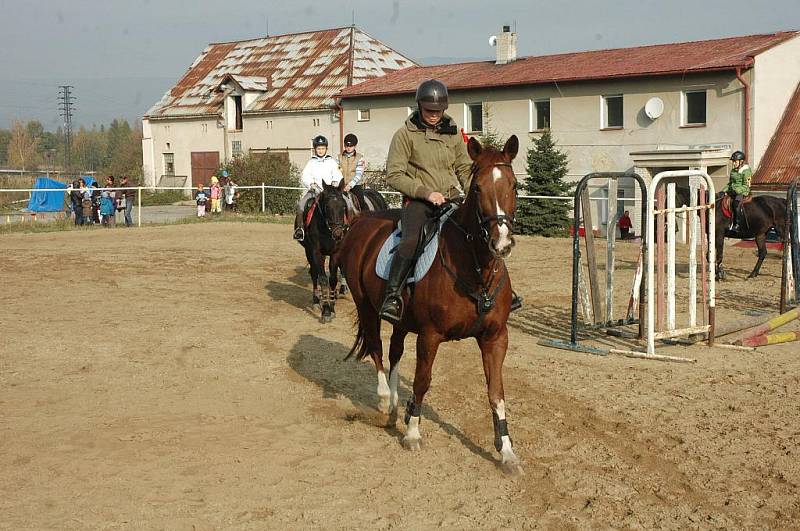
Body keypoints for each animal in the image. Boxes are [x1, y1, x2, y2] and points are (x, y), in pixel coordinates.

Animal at [340, 136, 520, 474]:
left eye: (514, 185)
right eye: (478, 188)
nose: (501, 243)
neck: (475, 268)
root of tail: (360, 221)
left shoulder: (495, 338)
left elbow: (496, 392)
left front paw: (506, 451)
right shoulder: (430, 336)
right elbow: (423, 381)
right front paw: (412, 432)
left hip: (400, 319)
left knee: (395, 351)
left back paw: (395, 404)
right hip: (366, 306)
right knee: (377, 348)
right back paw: (384, 401)